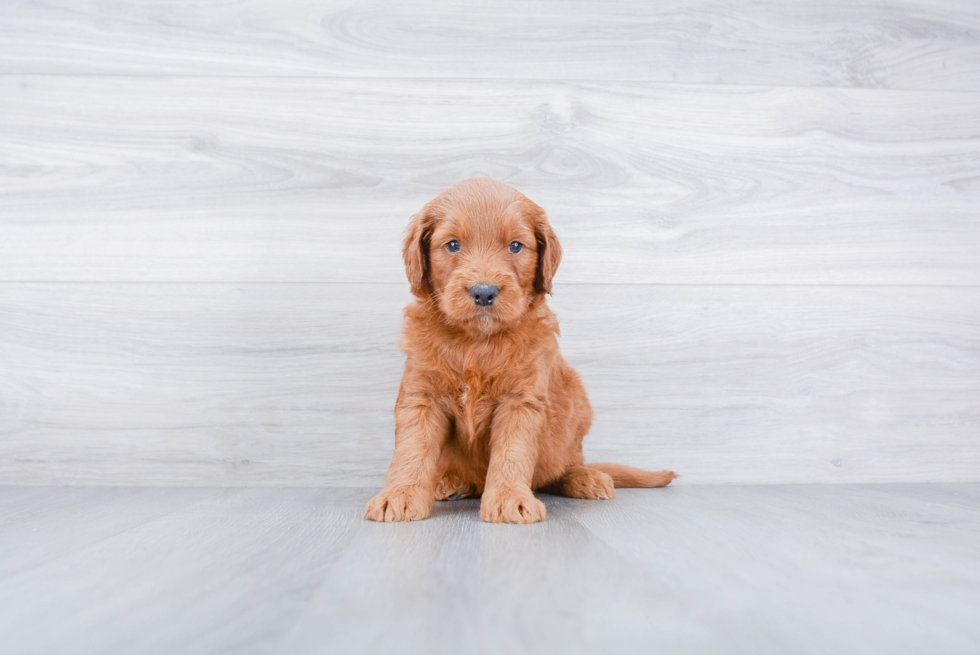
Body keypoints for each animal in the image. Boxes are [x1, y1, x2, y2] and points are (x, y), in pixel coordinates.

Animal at [364, 177, 676, 524]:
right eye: (453, 245)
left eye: (515, 246)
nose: (484, 292)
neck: (476, 342)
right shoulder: (421, 396)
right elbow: (412, 450)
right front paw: (400, 495)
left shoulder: (521, 400)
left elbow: (512, 453)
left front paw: (508, 499)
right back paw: (451, 482)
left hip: (576, 410)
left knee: (566, 463)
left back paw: (585, 477)